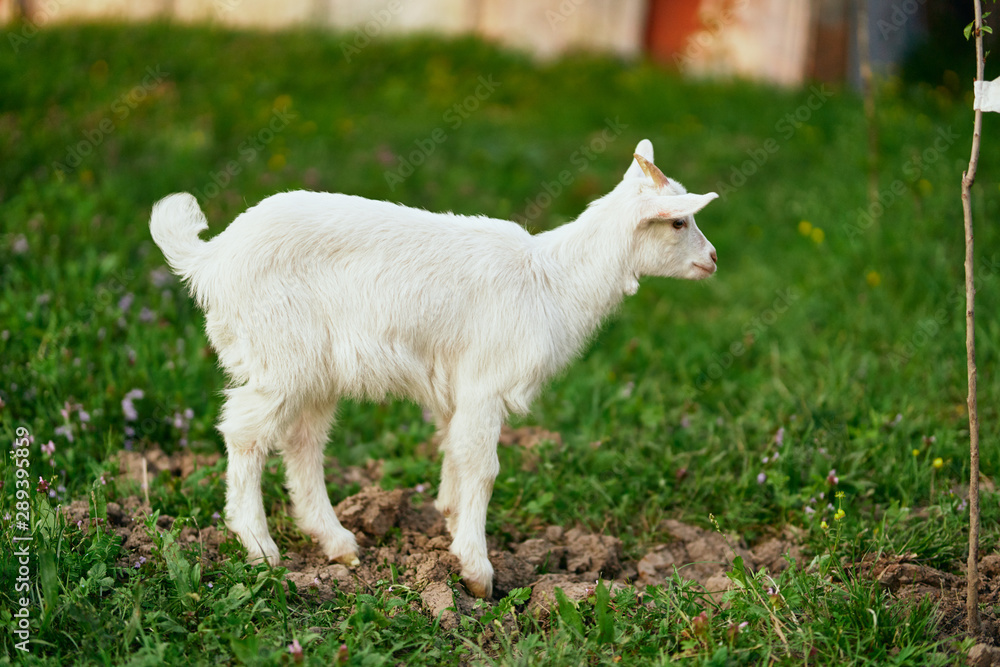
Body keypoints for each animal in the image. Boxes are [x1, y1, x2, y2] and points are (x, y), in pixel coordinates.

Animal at [149, 139, 718, 598]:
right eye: (679, 221)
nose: (713, 259)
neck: (553, 281)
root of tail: (210, 259)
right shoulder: (487, 382)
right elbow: (483, 467)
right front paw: (477, 572)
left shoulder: (457, 388)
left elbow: (454, 451)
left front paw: (448, 519)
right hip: (281, 352)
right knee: (246, 431)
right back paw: (261, 548)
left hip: (315, 367)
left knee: (302, 440)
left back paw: (338, 543)